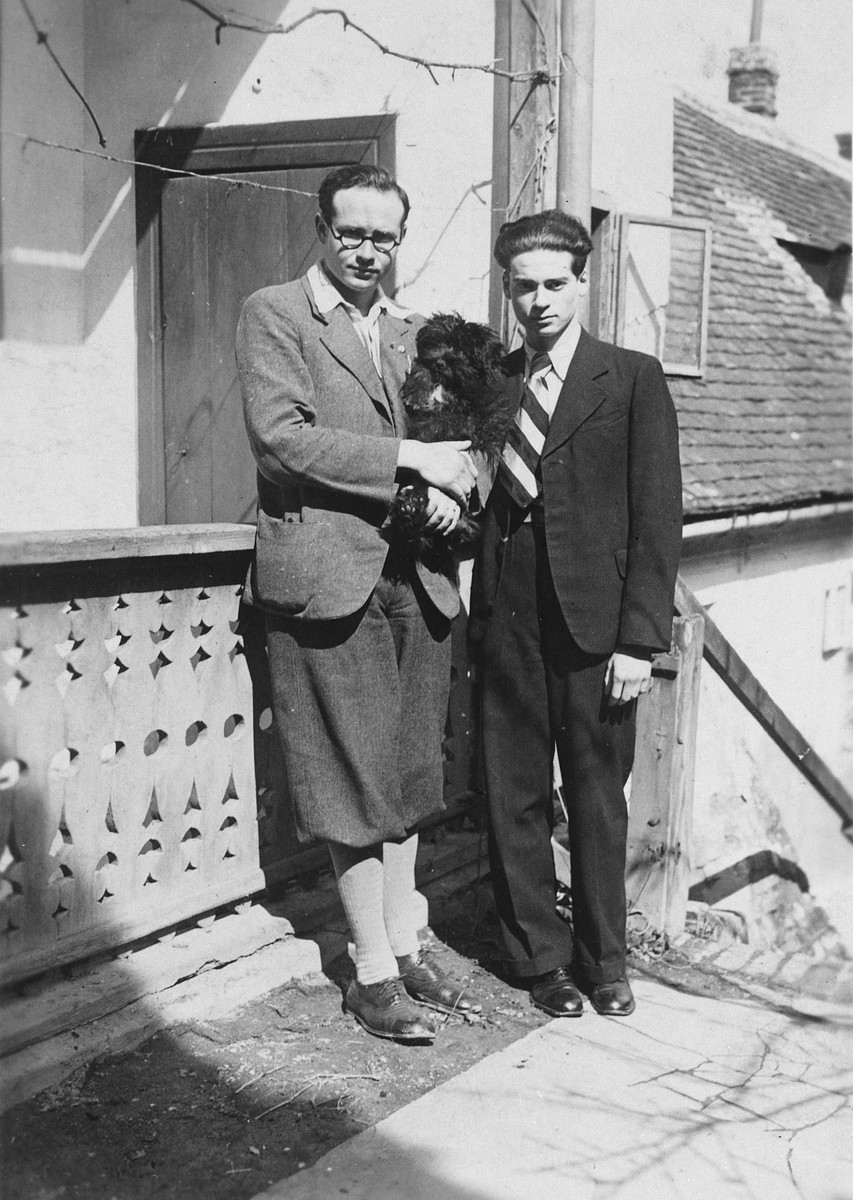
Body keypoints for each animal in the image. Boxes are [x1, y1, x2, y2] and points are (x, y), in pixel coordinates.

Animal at [388, 314, 511, 566]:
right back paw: (409, 507)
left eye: (463, 350)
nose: (440, 362)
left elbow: (454, 416)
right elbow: (421, 368)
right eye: (438, 342)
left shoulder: (480, 408)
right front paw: (418, 389)